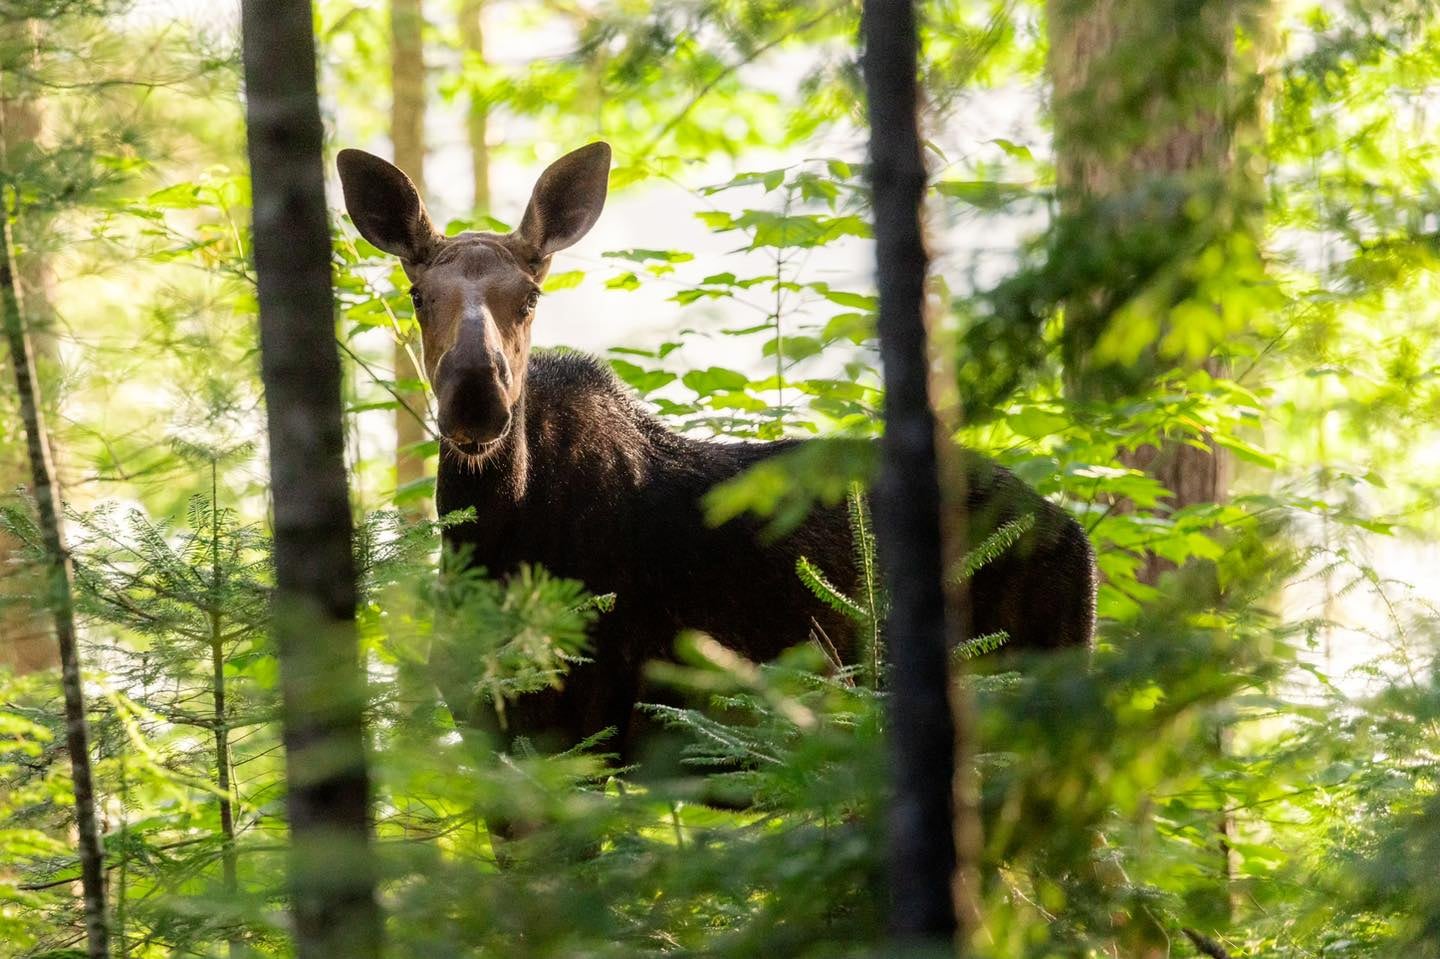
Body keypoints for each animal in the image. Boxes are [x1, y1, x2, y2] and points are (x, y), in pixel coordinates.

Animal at [336, 140, 1094, 754]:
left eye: (529, 296)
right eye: (417, 293)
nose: (476, 395)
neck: (494, 551)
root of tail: (1074, 532)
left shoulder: (584, 727)